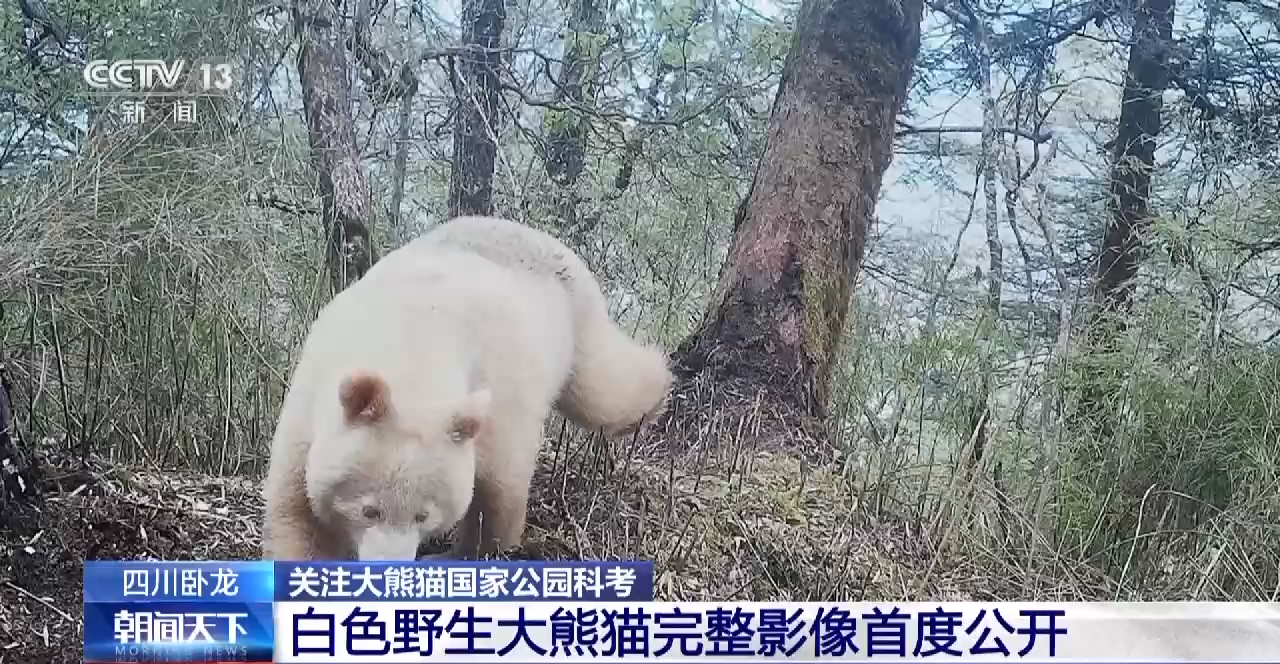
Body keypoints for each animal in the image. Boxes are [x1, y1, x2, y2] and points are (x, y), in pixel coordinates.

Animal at [260, 215, 673, 561]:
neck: (411, 340)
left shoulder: (498, 389)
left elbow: (499, 485)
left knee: (604, 389)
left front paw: (471, 551)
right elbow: (297, 510)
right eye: (369, 509)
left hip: (575, 324)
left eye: (423, 515)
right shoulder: (313, 395)